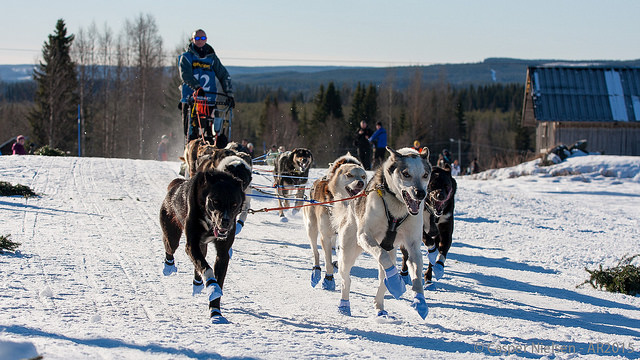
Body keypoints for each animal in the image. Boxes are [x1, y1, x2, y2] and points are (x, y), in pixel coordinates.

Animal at [160, 169, 245, 324]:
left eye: (234, 204)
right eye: (215, 201)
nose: (225, 222)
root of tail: (175, 186)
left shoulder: (223, 253)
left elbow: (216, 276)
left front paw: (216, 312)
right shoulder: (191, 245)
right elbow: (207, 269)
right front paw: (212, 287)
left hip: (202, 246)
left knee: (200, 261)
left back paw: (198, 282)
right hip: (172, 235)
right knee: (171, 249)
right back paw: (168, 267)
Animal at [304, 153, 368, 292]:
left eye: (363, 176)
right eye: (349, 175)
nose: (361, 183)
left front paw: (337, 263)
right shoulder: (326, 236)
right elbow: (327, 261)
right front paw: (329, 279)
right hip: (311, 228)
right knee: (316, 252)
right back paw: (316, 271)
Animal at [336, 146, 436, 320]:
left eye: (425, 175)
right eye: (406, 174)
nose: (420, 193)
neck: (396, 208)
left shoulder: (413, 245)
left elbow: (417, 274)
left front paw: (420, 301)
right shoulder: (364, 236)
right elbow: (381, 255)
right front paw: (396, 281)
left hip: (390, 252)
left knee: (383, 278)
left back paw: (380, 306)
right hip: (348, 252)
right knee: (347, 279)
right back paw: (344, 305)